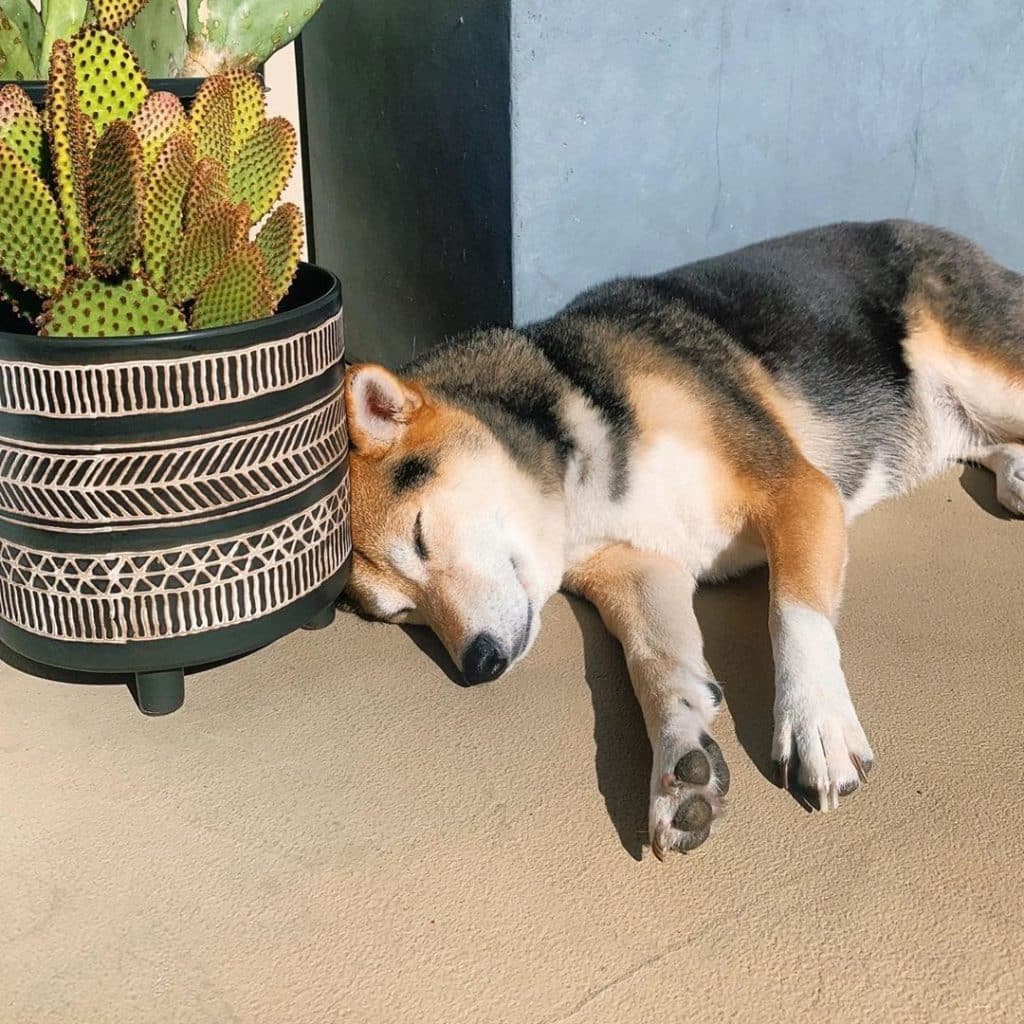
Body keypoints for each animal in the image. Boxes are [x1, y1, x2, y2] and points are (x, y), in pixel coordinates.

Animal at [342, 220, 1024, 860]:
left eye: (421, 535)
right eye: (403, 614)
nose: (477, 666)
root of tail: (948, 237)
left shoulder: (798, 489)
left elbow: (792, 615)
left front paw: (816, 720)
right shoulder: (640, 570)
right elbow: (658, 663)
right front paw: (679, 762)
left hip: (989, 377)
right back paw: (1017, 473)